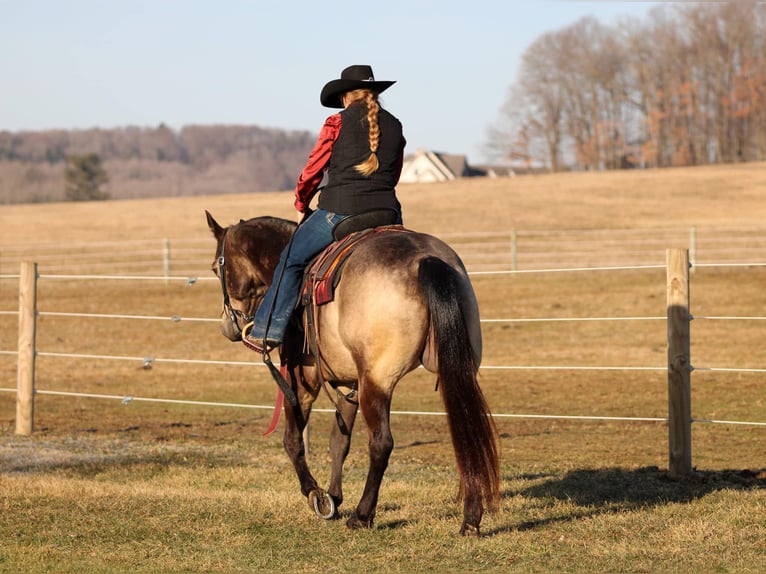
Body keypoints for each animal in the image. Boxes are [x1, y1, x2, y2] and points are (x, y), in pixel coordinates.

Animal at [207, 213, 500, 540]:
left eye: (216, 267)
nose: (227, 327)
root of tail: (427, 260)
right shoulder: (350, 384)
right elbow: (339, 441)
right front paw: (334, 496)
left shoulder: (301, 379)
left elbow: (293, 439)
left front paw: (316, 494)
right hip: (456, 372)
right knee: (467, 433)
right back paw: (471, 519)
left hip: (378, 381)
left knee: (381, 443)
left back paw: (362, 516)